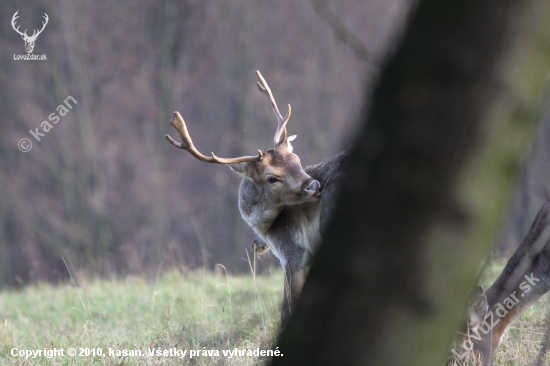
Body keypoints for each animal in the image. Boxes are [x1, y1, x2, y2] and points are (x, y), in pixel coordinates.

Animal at [166, 71, 350, 324]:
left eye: (297, 159)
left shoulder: (293, 252)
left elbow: (287, 308)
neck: (268, 229)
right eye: (271, 177)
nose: (314, 185)